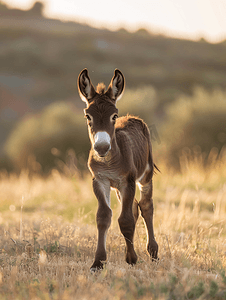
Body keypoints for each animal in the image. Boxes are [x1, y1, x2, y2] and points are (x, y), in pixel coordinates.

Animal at [77, 68, 159, 272]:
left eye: (113, 116)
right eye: (88, 116)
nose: (101, 147)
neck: (109, 161)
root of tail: (131, 117)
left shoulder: (127, 181)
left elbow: (125, 220)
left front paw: (132, 259)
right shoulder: (100, 181)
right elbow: (104, 217)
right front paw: (98, 262)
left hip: (144, 177)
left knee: (145, 206)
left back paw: (153, 253)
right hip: (117, 188)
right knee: (135, 208)